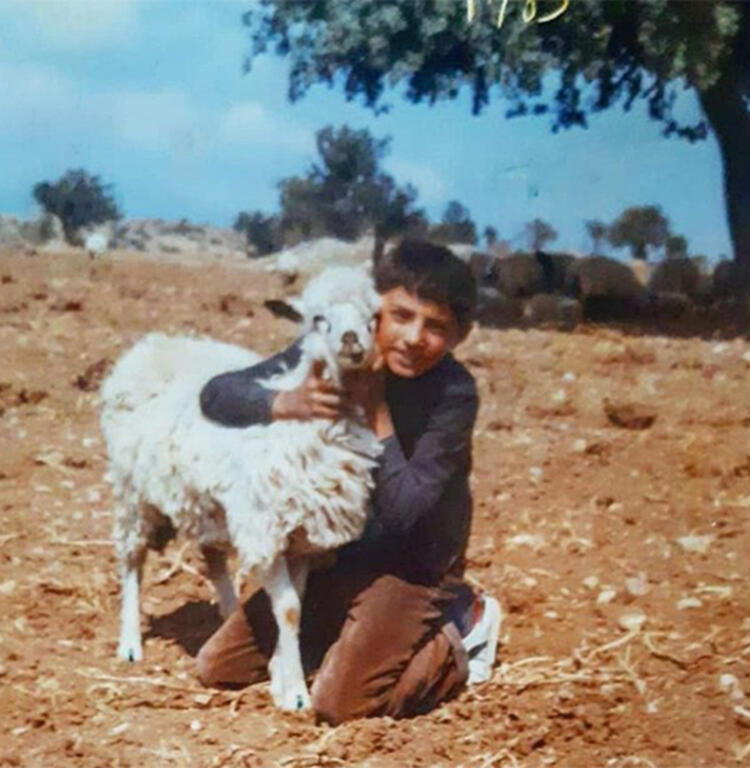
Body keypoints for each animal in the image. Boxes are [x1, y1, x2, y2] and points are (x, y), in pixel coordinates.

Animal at [100, 264, 382, 708]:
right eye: (317, 319)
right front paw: (295, 692)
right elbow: (288, 609)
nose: (353, 341)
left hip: (202, 504)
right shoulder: (266, 530)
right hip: (132, 493)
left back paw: (228, 613)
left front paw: (280, 675)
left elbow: (295, 603)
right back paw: (129, 643)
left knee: (213, 560)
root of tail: (155, 344)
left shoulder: (304, 537)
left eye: (373, 317)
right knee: (131, 561)